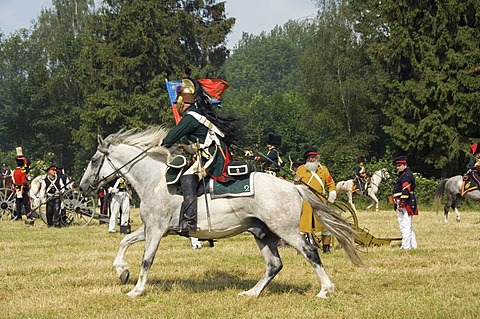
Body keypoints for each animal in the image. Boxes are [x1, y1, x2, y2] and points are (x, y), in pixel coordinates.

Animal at [78, 127, 360, 300]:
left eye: (93, 160)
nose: (82, 187)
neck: (154, 180)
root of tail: (294, 186)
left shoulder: (156, 230)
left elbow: (146, 260)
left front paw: (136, 290)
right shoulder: (152, 228)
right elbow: (125, 241)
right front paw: (121, 271)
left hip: (286, 230)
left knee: (310, 252)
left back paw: (326, 290)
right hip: (262, 233)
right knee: (274, 264)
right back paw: (252, 293)